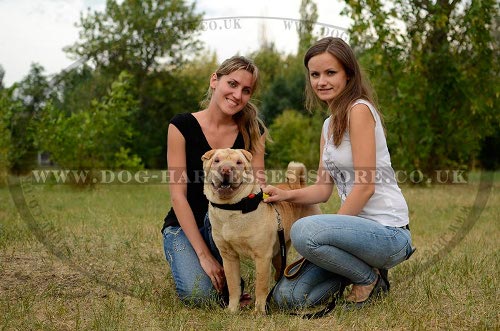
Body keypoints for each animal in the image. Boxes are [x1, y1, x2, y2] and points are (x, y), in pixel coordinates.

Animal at [200, 149, 320, 316]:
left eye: (239, 162)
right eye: (216, 160)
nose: (226, 169)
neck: (232, 208)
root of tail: (296, 185)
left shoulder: (262, 256)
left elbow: (260, 286)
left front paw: (259, 312)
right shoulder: (228, 256)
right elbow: (233, 285)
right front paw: (232, 309)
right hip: (279, 254)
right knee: (279, 271)